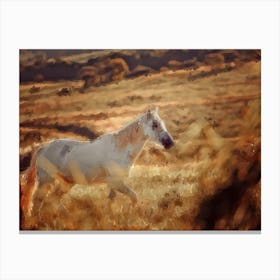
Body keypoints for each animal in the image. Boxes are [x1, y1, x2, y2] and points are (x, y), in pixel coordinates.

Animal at [20, 107, 175, 219]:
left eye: (162, 123)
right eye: (155, 124)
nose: (170, 143)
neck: (120, 149)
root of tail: (43, 148)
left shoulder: (114, 183)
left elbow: (111, 201)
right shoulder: (116, 182)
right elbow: (134, 197)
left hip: (66, 183)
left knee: (52, 199)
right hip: (46, 180)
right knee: (38, 200)